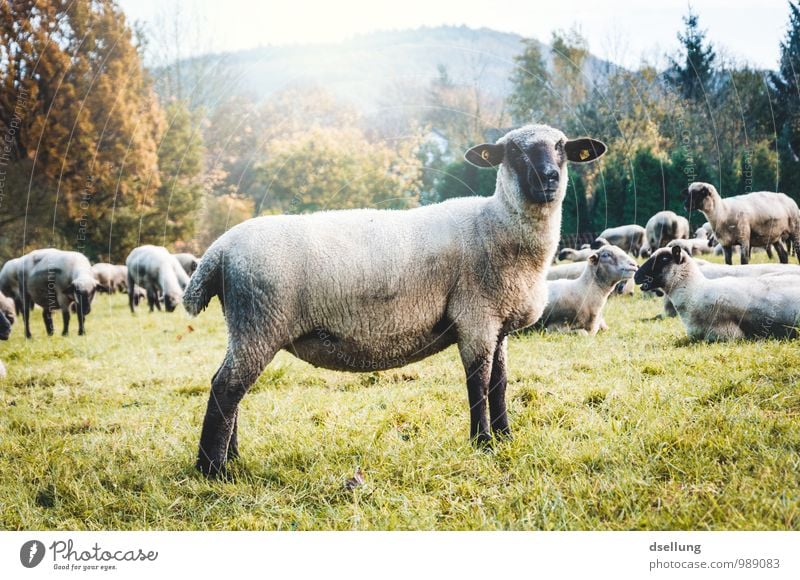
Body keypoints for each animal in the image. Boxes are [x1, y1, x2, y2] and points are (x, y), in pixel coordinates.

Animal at [181, 121, 608, 476]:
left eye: (560, 147)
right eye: (514, 152)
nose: (549, 178)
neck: (496, 225)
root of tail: (218, 251)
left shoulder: (498, 323)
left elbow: (499, 383)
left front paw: (505, 438)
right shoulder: (475, 317)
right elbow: (478, 383)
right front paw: (483, 443)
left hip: (246, 327)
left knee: (232, 391)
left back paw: (232, 458)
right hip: (259, 322)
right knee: (225, 388)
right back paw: (214, 470)